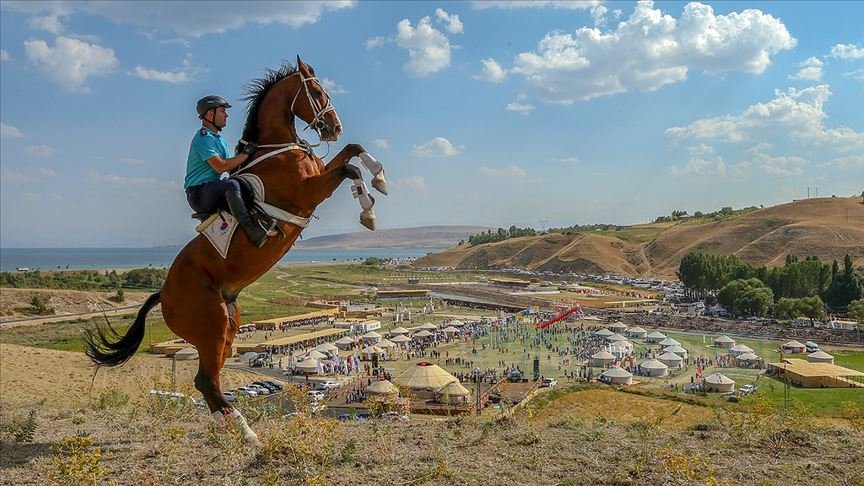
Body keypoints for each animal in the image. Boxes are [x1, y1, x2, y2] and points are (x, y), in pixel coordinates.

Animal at [83, 57, 374, 444]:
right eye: (315, 91)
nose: (334, 128)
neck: (278, 148)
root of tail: (164, 293)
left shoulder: (319, 176)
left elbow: (353, 152)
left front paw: (378, 181)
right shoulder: (309, 191)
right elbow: (348, 168)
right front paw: (369, 208)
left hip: (228, 325)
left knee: (208, 380)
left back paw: (228, 426)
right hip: (212, 326)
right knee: (206, 379)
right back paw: (245, 430)